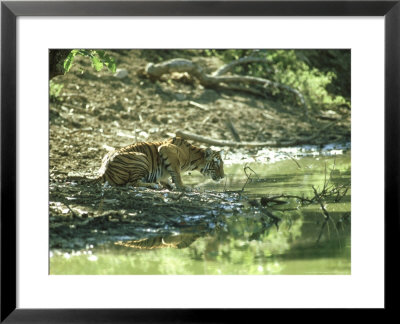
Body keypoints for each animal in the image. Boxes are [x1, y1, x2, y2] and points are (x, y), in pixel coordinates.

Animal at [90, 136, 225, 191]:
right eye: (216, 164)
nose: (223, 177)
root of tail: (104, 171)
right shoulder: (167, 150)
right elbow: (177, 173)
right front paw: (183, 187)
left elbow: (166, 175)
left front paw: (169, 184)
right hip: (142, 158)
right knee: (131, 183)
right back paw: (152, 185)